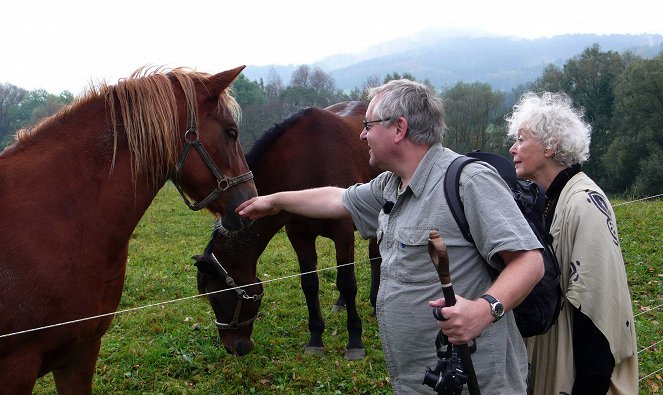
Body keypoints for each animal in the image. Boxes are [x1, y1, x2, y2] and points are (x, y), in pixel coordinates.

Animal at [192, 100, 382, 360]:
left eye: (218, 298)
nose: (235, 347)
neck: (307, 162)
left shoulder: (343, 232)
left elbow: (347, 282)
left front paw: (354, 340)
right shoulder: (299, 236)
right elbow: (309, 285)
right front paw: (315, 337)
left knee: (374, 258)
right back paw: (340, 302)